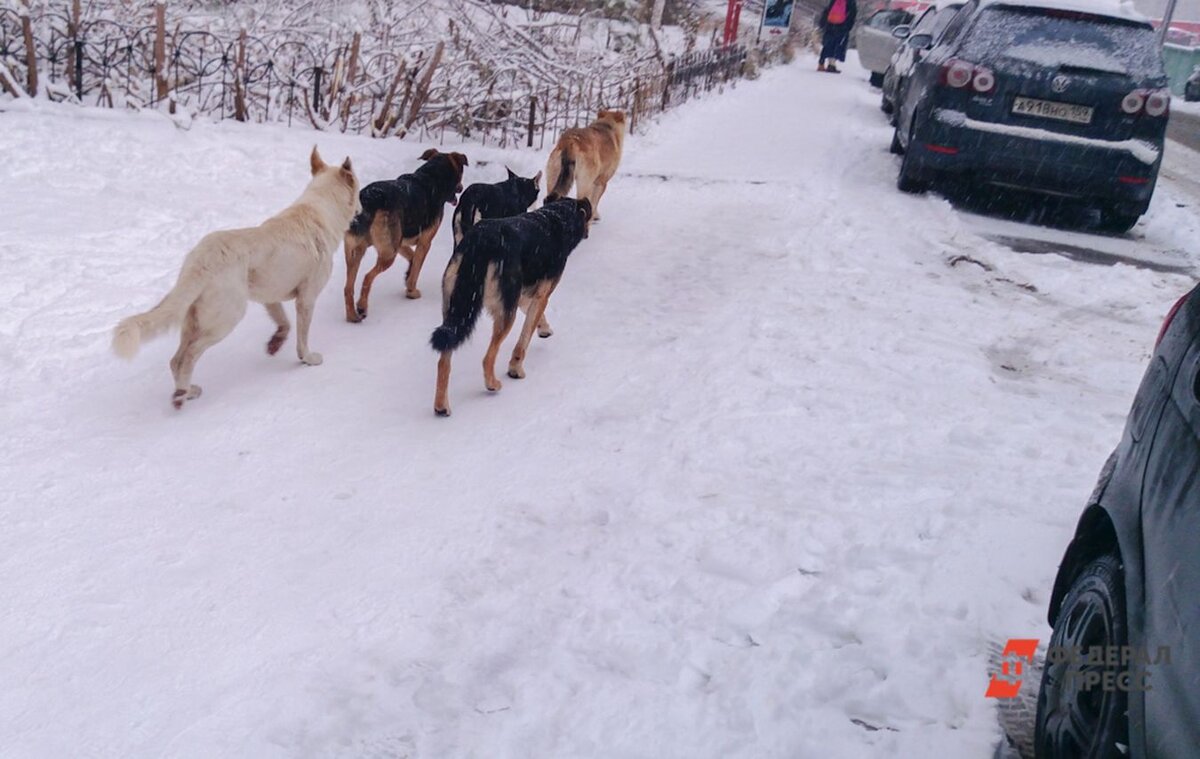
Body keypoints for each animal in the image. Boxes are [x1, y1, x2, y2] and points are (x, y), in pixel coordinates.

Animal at [112, 148, 360, 408]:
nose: (362, 208)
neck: (320, 208)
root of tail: (202, 259)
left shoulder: (270, 296)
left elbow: (284, 323)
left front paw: (275, 342)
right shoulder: (307, 299)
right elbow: (302, 337)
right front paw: (307, 358)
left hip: (194, 319)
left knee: (175, 359)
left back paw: (188, 391)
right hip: (227, 319)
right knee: (188, 356)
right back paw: (180, 395)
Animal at [343, 147, 468, 319]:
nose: (461, 187)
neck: (432, 176)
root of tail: (368, 199)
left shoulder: (401, 242)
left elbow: (412, 258)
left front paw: (408, 273)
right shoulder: (425, 242)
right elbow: (417, 267)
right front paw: (411, 291)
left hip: (356, 251)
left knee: (348, 287)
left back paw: (352, 316)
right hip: (388, 254)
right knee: (367, 277)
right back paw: (362, 306)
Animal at [429, 196, 592, 415]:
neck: (556, 218)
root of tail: (480, 243)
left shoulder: (523, 295)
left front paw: (544, 328)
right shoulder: (541, 295)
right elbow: (523, 340)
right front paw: (515, 369)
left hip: (454, 309)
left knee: (443, 360)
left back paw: (441, 405)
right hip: (505, 314)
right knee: (487, 358)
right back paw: (492, 384)